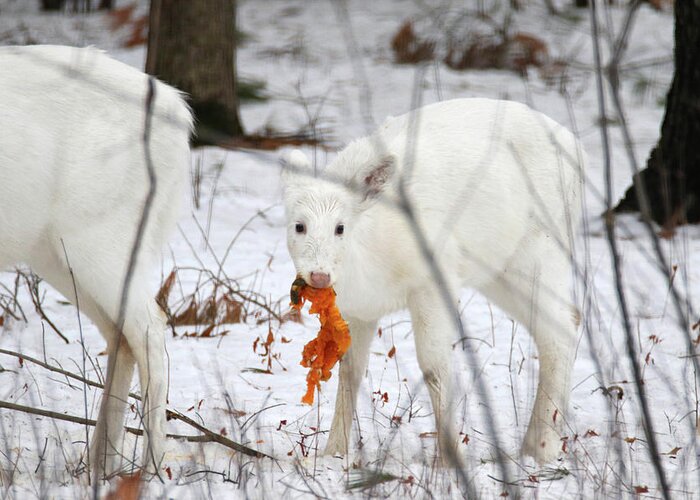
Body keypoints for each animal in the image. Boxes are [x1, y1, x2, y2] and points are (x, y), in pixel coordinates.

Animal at [0, 46, 191, 476]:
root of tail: (181, 115)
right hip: (53, 250)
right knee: (120, 333)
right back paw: (98, 464)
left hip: (101, 234)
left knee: (150, 327)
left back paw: (150, 470)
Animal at [280, 97, 584, 464]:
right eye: (299, 225)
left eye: (340, 227)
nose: (320, 275)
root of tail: (578, 149)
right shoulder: (358, 308)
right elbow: (350, 370)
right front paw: (334, 453)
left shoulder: (434, 278)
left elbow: (435, 368)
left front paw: (451, 462)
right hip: (498, 272)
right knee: (566, 321)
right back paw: (533, 445)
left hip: (542, 249)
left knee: (560, 328)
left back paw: (543, 447)